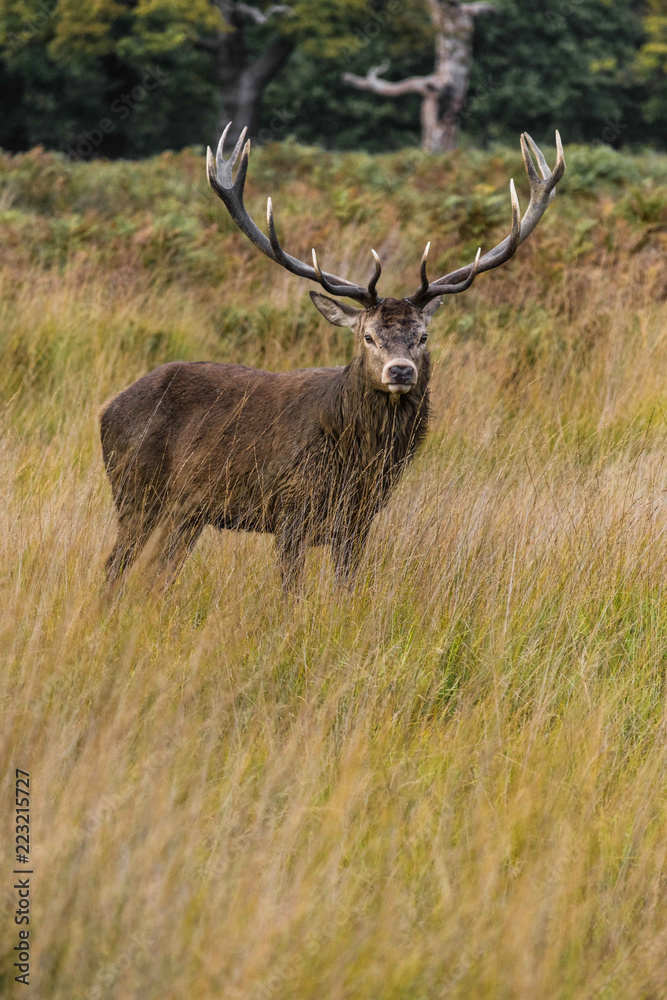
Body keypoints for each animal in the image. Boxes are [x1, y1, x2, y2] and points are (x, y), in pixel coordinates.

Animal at [100, 124, 565, 591]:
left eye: (423, 335)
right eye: (368, 336)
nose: (401, 371)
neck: (357, 463)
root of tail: (106, 409)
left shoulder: (359, 520)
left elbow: (346, 589)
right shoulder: (289, 506)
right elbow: (289, 594)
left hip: (187, 512)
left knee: (159, 571)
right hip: (135, 489)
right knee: (113, 566)